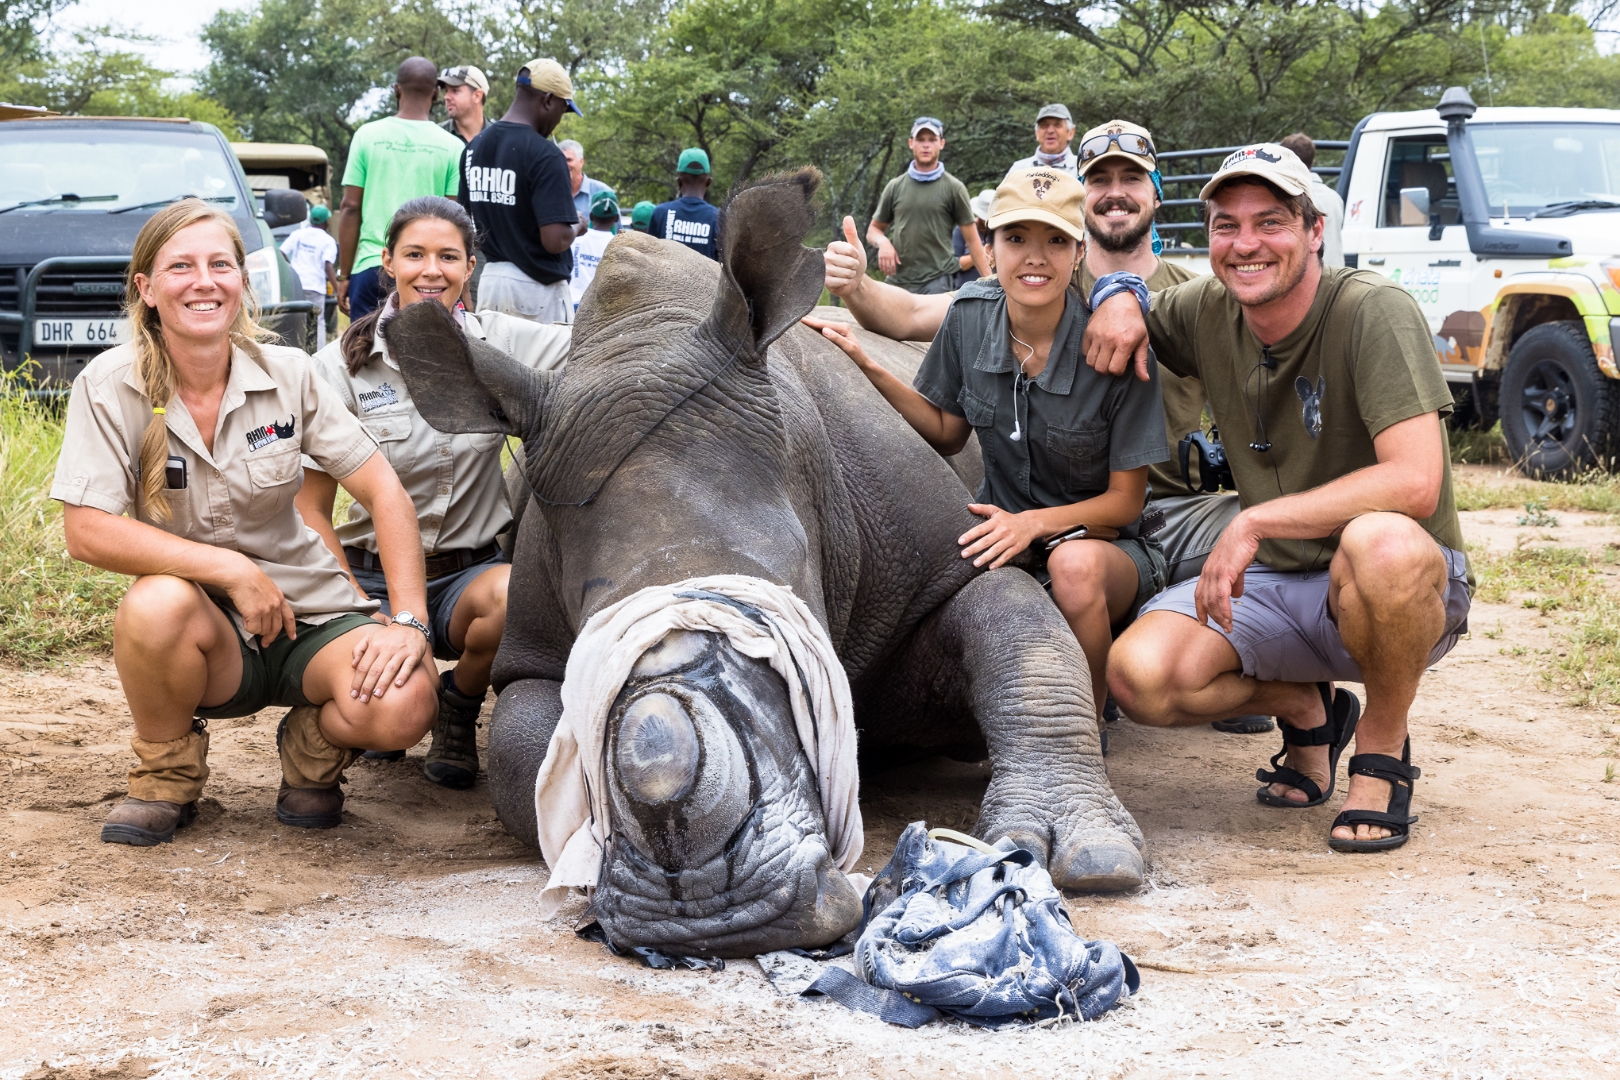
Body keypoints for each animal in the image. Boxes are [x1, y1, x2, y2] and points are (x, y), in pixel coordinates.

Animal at [382, 170, 1140, 965]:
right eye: (598, 627)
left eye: (791, 606)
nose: (712, 916)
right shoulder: (532, 645)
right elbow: (523, 747)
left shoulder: (946, 553)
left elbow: (1018, 628)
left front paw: (1072, 857)